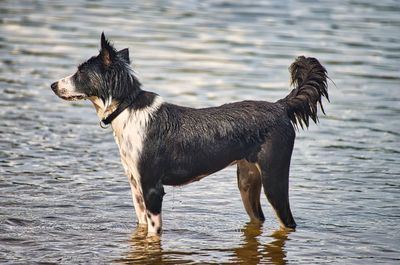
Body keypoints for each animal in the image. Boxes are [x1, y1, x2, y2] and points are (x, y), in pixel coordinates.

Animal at [51, 32, 330, 235]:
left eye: (80, 72)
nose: (53, 85)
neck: (127, 107)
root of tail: (280, 106)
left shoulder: (152, 188)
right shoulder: (136, 188)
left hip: (274, 177)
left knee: (288, 221)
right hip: (247, 180)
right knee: (258, 219)